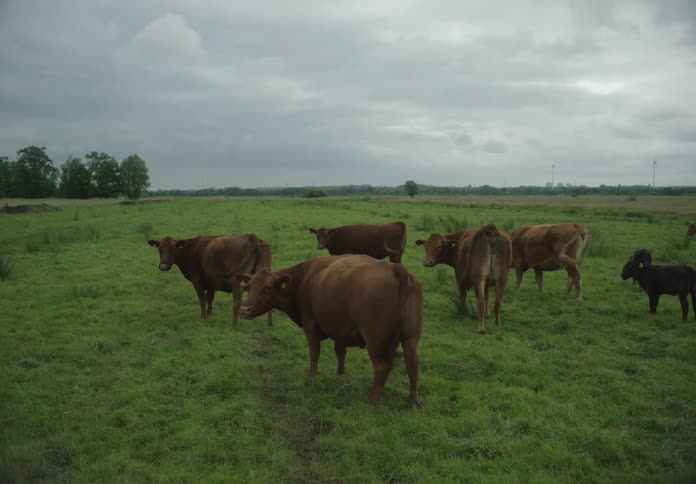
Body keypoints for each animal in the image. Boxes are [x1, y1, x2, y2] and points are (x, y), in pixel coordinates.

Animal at [234, 255, 423, 404]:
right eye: (248, 287)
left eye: (267, 288)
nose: (244, 310)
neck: (304, 279)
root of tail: (396, 269)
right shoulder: (341, 328)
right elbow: (340, 351)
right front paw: (340, 374)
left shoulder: (310, 323)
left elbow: (314, 352)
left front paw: (313, 375)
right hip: (410, 336)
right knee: (412, 364)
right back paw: (413, 400)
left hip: (375, 338)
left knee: (382, 367)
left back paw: (372, 400)